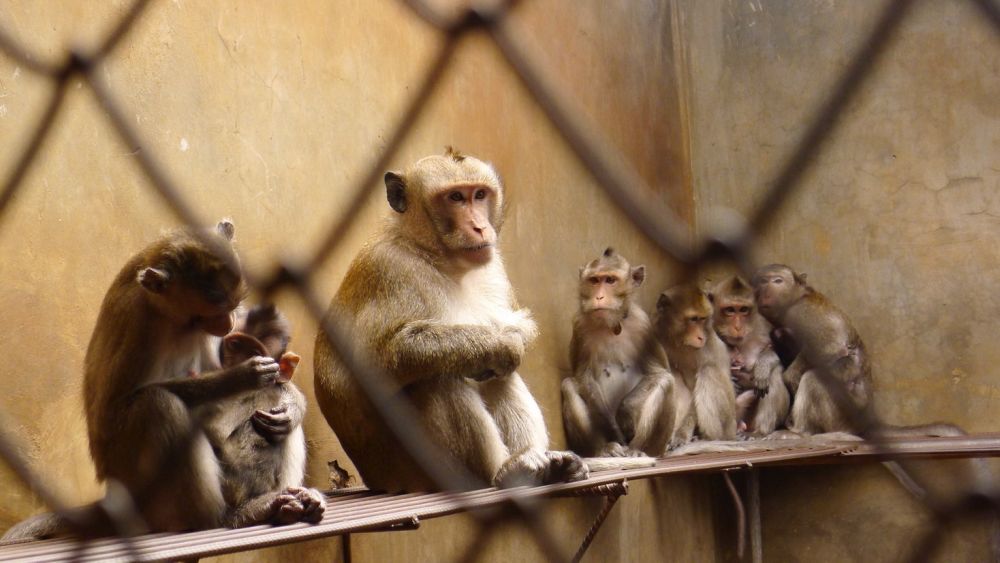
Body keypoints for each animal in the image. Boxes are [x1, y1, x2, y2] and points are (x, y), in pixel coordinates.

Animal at [316, 150, 588, 494]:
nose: (480, 227)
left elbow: (516, 325)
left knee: (497, 376)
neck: (436, 255)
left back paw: (543, 463)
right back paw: (503, 472)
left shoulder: (494, 265)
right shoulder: (388, 271)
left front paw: (508, 340)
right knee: (436, 378)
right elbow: (385, 358)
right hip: (419, 475)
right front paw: (500, 344)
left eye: (479, 195)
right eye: (455, 198)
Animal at [564, 249, 680, 460]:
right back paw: (603, 449)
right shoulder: (579, 326)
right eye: (594, 280)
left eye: (610, 280)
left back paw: (639, 450)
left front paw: (625, 412)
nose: (599, 297)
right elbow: (583, 377)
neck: (612, 325)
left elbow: (659, 373)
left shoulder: (644, 326)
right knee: (569, 385)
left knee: (666, 382)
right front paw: (613, 429)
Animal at [656, 284, 736, 442]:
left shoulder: (706, 348)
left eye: (703, 319)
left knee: (708, 371)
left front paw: (681, 435)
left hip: (729, 419)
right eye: (694, 319)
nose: (701, 337)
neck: (679, 342)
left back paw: (711, 437)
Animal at [712, 276, 788, 438]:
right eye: (730, 310)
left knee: (774, 373)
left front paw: (763, 365)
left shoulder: (764, 326)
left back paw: (760, 431)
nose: (738, 327)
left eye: (743, 310)